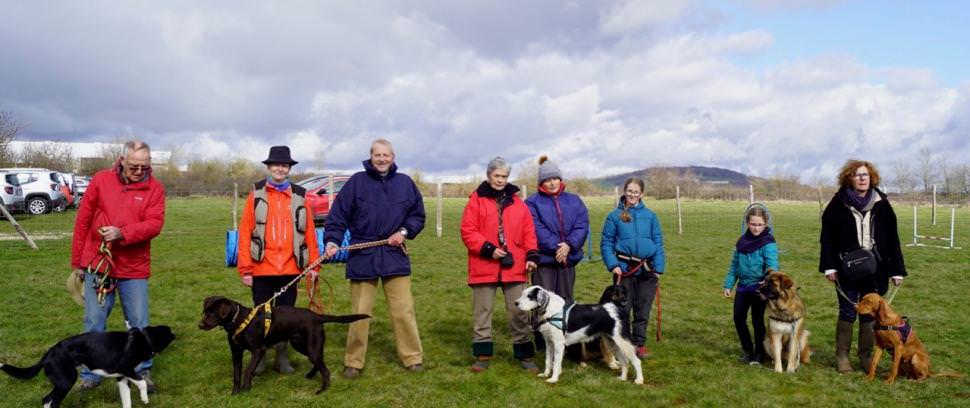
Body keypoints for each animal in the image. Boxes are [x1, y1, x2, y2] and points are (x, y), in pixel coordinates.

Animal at [0, 326, 174, 408]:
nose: (175, 335)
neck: (143, 338)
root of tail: (50, 352)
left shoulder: (122, 378)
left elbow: (127, 401)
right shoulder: (125, 368)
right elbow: (142, 382)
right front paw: (145, 398)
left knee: (50, 401)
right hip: (66, 380)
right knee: (48, 400)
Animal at [200, 294, 370, 394]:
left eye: (213, 313)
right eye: (205, 312)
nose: (200, 325)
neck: (239, 320)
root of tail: (317, 316)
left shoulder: (258, 350)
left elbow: (248, 371)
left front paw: (246, 390)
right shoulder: (236, 353)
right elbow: (236, 374)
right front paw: (235, 393)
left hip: (311, 346)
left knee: (325, 370)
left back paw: (322, 390)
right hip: (301, 345)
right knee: (319, 363)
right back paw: (310, 375)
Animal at [516, 286, 644, 384]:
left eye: (529, 296)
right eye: (522, 294)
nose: (516, 303)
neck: (550, 310)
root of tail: (618, 310)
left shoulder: (558, 344)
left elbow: (556, 362)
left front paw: (553, 379)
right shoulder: (549, 342)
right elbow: (548, 361)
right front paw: (545, 374)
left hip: (622, 342)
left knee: (636, 361)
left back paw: (639, 380)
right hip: (611, 343)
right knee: (624, 361)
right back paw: (622, 378)